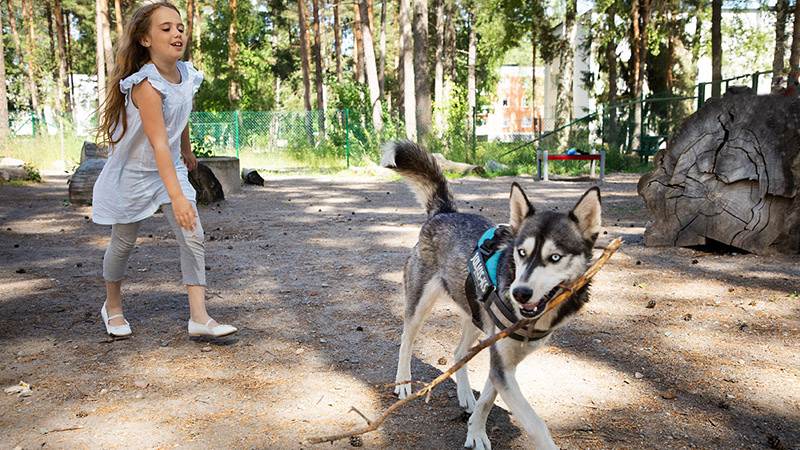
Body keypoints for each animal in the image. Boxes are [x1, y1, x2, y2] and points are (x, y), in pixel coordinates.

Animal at [382, 142, 600, 450]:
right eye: (521, 253)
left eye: (555, 257)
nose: (520, 293)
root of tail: (444, 212)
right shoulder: (502, 365)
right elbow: (536, 424)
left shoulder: (503, 361)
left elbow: (488, 398)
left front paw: (475, 430)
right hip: (419, 306)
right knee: (406, 341)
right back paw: (403, 382)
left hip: (475, 317)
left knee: (459, 353)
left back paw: (465, 395)